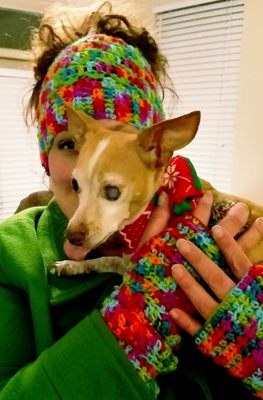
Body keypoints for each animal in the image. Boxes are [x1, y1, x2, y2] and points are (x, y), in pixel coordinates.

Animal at [49, 104, 263, 276]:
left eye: (112, 191)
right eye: (75, 185)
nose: (72, 237)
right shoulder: (124, 262)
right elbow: (106, 260)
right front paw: (73, 265)